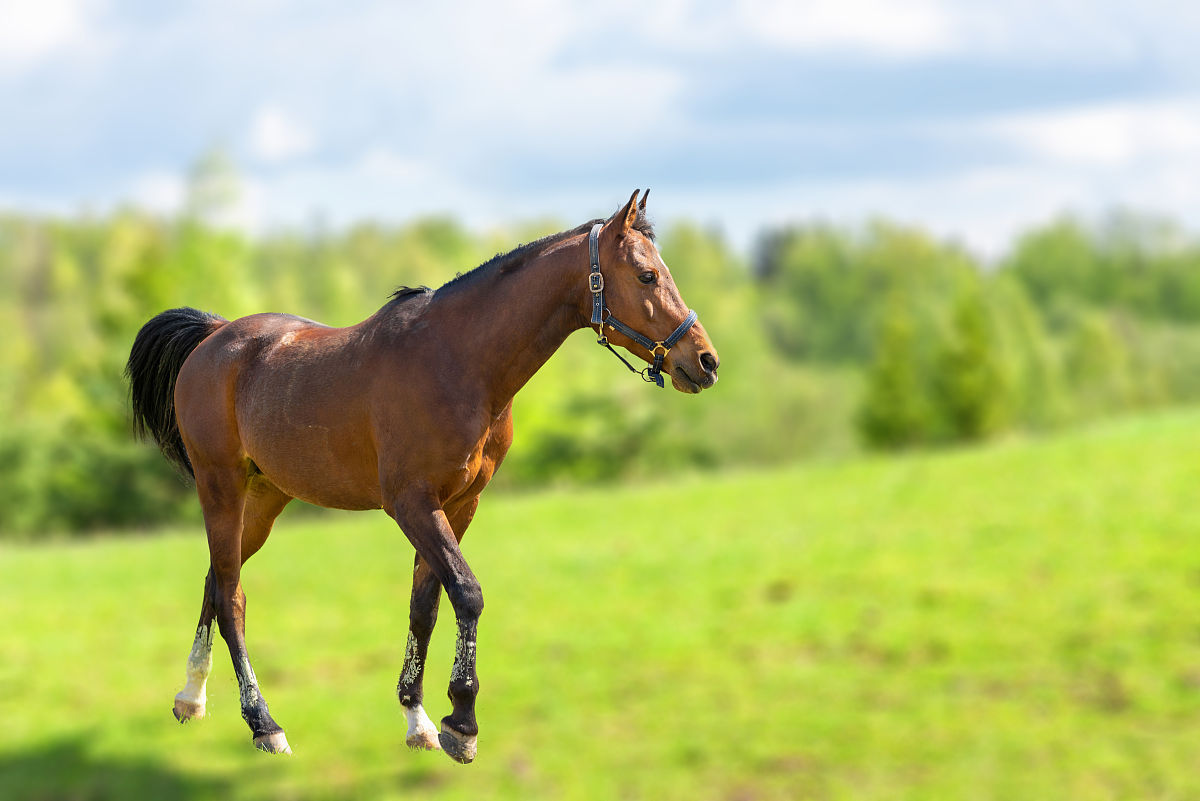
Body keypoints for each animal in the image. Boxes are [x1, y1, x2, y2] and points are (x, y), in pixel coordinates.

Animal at [125, 190, 720, 762]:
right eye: (647, 275)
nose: (706, 361)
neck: (459, 361)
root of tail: (216, 336)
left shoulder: (459, 504)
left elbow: (426, 605)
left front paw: (419, 720)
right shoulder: (411, 503)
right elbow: (467, 593)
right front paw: (463, 723)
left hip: (266, 498)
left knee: (215, 580)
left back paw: (191, 697)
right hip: (220, 487)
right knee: (232, 598)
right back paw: (263, 724)